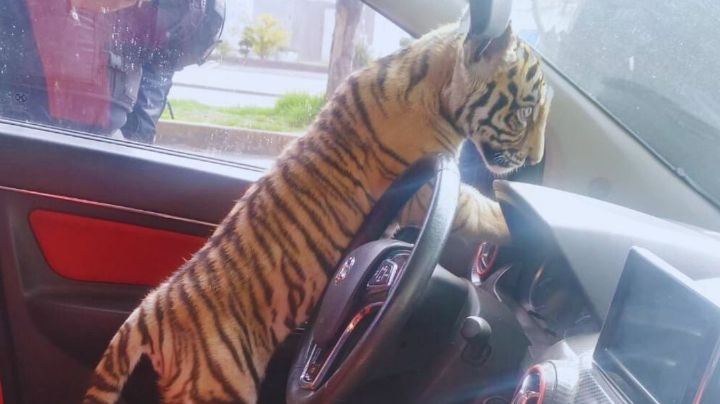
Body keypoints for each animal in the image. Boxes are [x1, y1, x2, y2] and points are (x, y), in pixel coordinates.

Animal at [82, 10, 550, 404]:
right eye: (526, 112)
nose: (536, 158)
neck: (434, 77)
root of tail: (150, 309)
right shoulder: (426, 187)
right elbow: (482, 209)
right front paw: (534, 229)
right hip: (221, 387)